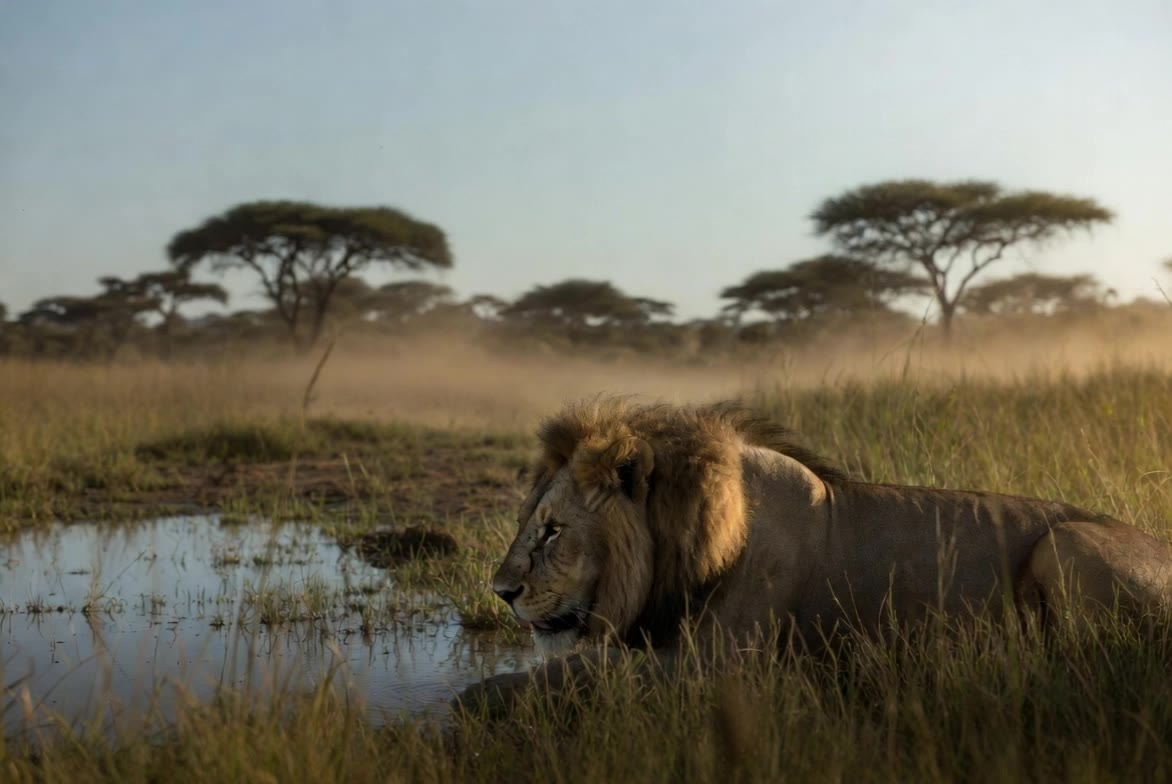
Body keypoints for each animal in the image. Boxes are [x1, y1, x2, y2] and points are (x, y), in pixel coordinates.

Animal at [456, 397, 1172, 712]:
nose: (501, 592)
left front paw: (480, 695)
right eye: (532, 524)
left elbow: (581, 670)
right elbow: (583, 664)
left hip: (1063, 543)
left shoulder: (720, 665)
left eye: (552, 531)